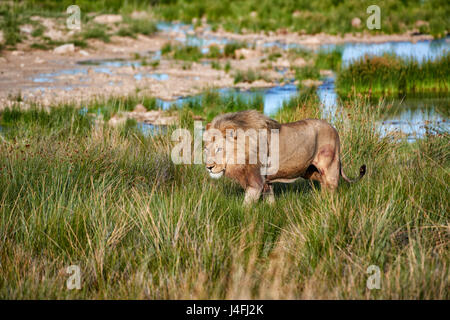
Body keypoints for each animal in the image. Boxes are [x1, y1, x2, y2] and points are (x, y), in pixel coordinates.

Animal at [204, 110, 366, 205]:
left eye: (219, 149)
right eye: (206, 149)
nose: (209, 167)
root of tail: (333, 128)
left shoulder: (256, 182)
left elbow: (246, 206)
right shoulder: (266, 181)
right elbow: (270, 199)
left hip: (329, 167)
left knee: (332, 188)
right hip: (311, 171)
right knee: (324, 187)